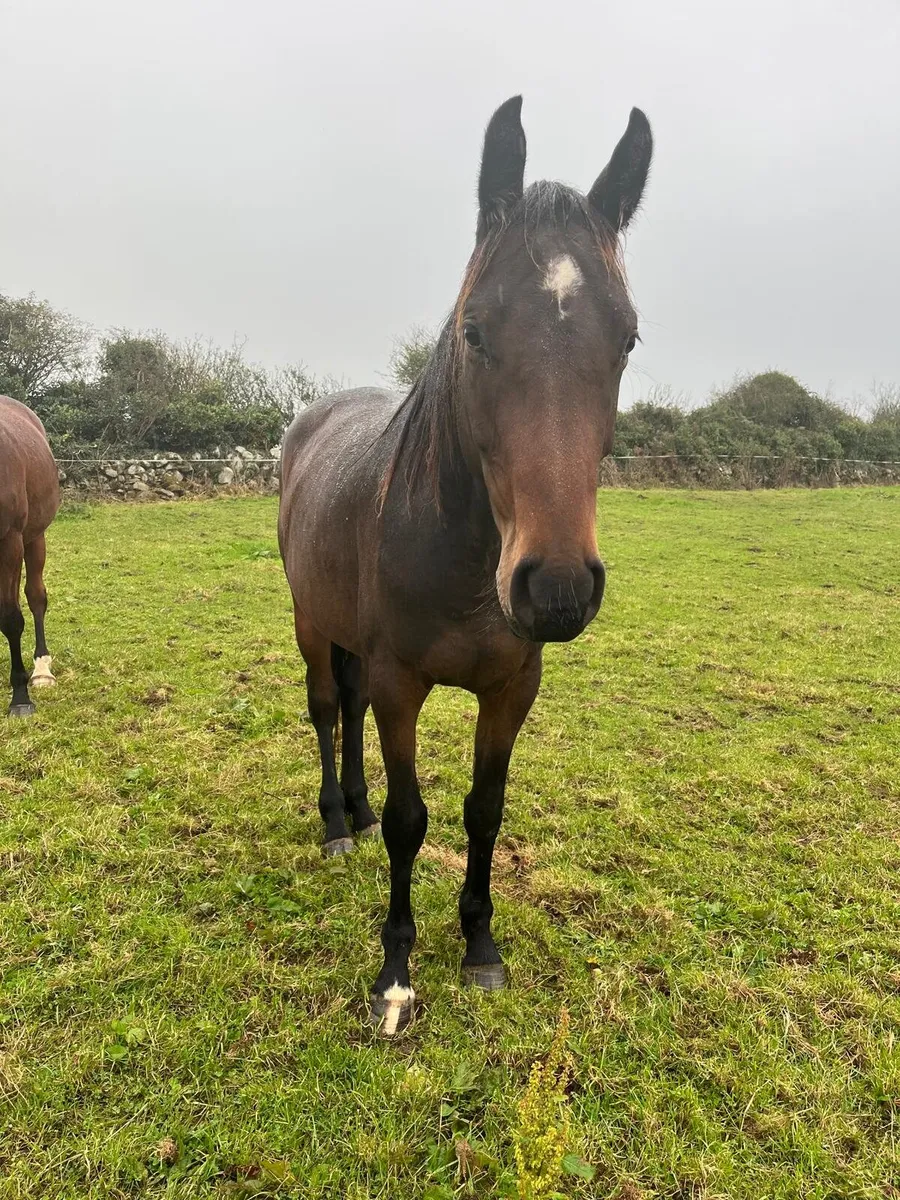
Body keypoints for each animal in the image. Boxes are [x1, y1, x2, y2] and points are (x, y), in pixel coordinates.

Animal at [278, 96, 652, 1035]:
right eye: (474, 330)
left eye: (628, 338)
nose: (556, 587)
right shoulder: (401, 682)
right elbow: (412, 820)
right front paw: (396, 972)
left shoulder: (512, 687)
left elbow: (484, 810)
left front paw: (480, 946)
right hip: (310, 624)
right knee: (328, 711)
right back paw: (337, 824)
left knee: (348, 715)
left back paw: (353, 806)